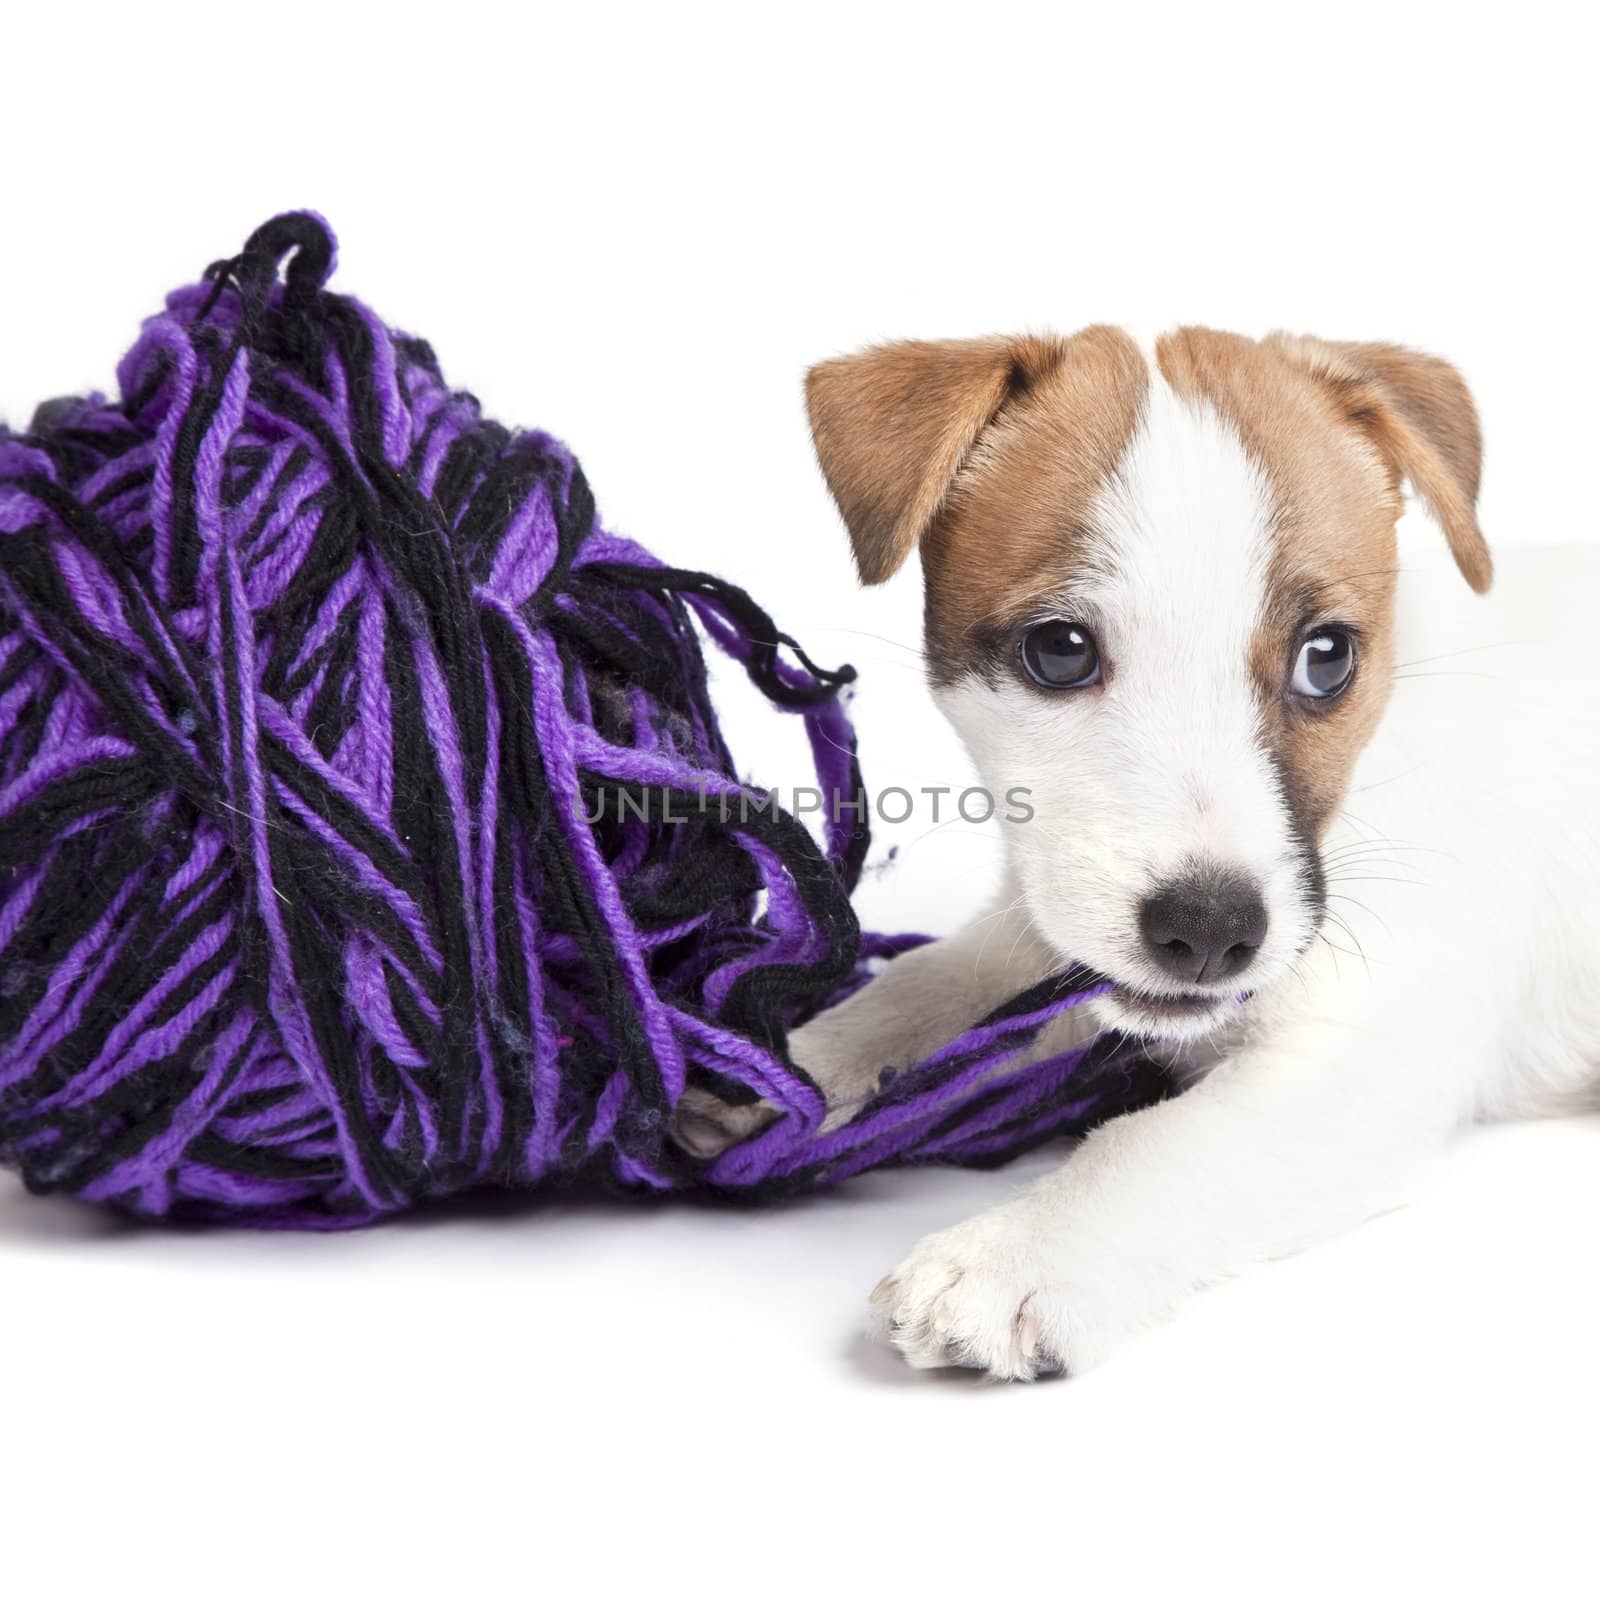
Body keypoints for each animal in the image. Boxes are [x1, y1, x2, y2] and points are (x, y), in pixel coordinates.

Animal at [668, 324, 1600, 1376]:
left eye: (1327, 658)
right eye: (1060, 650)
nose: (1210, 932)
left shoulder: (1365, 1055)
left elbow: (1158, 1148)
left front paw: (1015, 1254)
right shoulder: (1050, 920)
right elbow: (933, 985)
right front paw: (795, 1055)